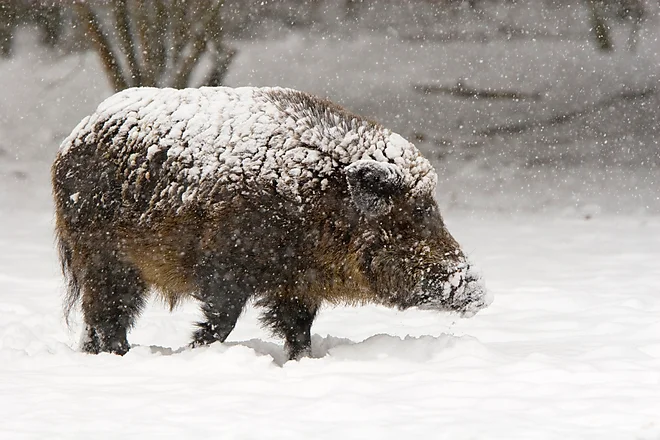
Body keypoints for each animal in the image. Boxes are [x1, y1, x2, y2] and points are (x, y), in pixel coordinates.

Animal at [52, 86, 491, 360]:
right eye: (415, 213)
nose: (478, 291)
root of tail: (73, 138)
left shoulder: (296, 283)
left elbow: (298, 329)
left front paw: (302, 361)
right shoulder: (225, 268)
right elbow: (224, 319)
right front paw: (196, 350)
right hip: (104, 257)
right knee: (107, 314)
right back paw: (117, 356)